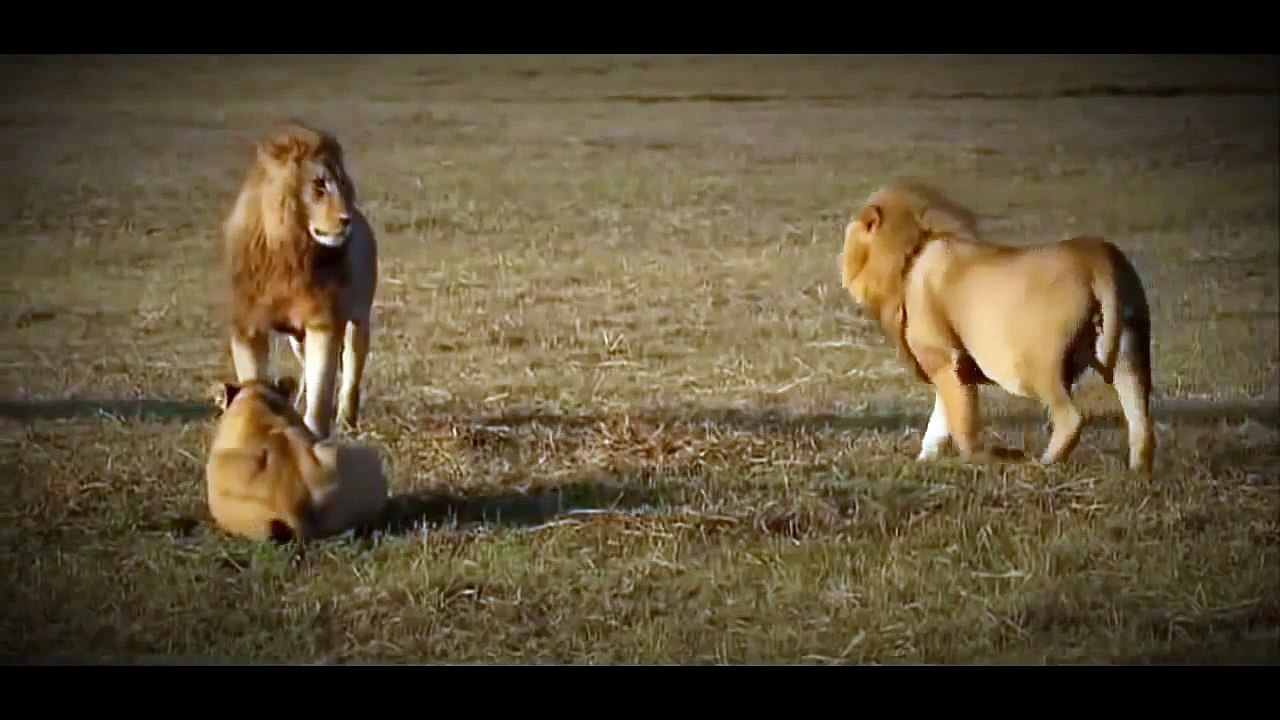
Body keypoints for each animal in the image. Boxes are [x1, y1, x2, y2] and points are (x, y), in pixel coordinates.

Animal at [221, 120, 378, 440]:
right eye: (319, 184)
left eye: (343, 183)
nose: (347, 220)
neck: (290, 251)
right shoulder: (247, 327)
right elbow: (254, 383)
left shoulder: (324, 323)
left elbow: (321, 394)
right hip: (297, 339)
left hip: (358, 320)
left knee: (351, 371)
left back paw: (346, 419)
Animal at [838, 181, 1155, 473]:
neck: (911, 253)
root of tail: (1097, 258)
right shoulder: (952, 363)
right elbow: (941, 417)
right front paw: (924, 460)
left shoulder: (942, 356)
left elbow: (961, 415)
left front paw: (977, 459)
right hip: (1130, 353)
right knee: (1141, 420)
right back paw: (1138, 471)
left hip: (1039, 364)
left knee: (1071, 419)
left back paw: (1043, 463)